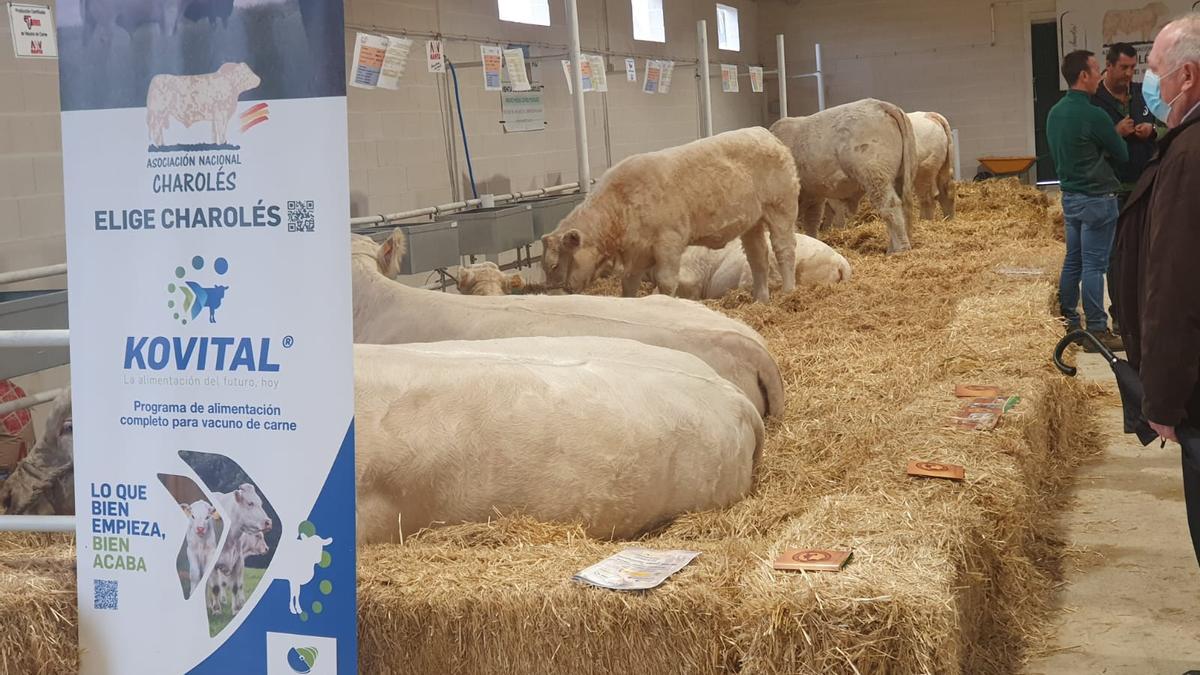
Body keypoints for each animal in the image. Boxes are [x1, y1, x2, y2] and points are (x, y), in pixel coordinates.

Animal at [540, 127, 801, 300]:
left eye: (554, 265)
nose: (553, 294)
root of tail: (768, 135)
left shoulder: (669, 241)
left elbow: (665, 282)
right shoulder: (638, 251)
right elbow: (628, 282)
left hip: (781, 208)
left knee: (784, 250)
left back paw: (788, 292)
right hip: (752, 222)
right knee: (758, 258)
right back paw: (761, 300)